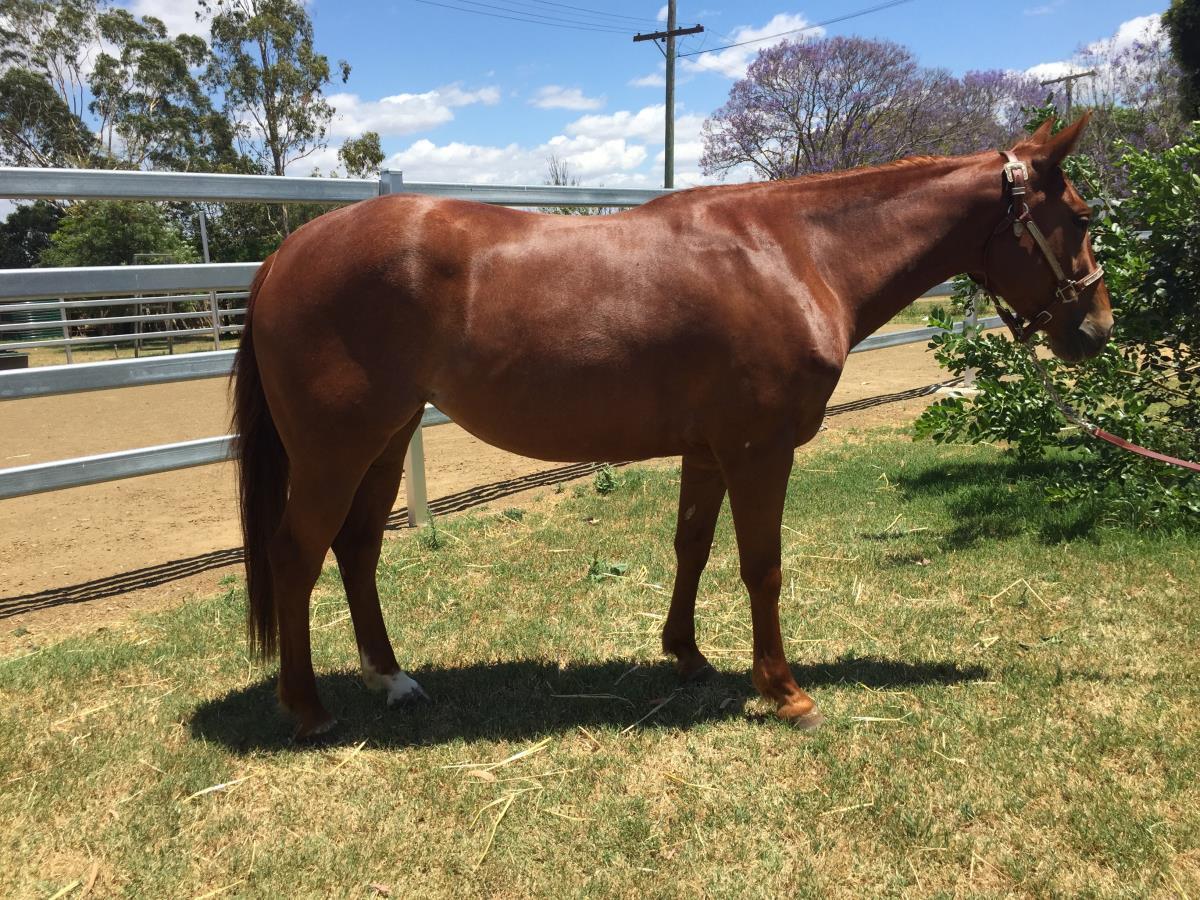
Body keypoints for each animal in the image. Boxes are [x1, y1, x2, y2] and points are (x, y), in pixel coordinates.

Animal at [233, 115, 1112, 739]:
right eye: (1078, 216)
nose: (1098, 330)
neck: (795, 254)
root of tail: (285, 253)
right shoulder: (760, 450)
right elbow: (762, 566)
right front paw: (785, 691)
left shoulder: (710, 449)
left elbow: (692, 545)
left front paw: (686, 655)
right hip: (335, 449)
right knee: (297, 553)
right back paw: (307, 708)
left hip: (383, 441)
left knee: (356, 549)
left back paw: (392, 679)